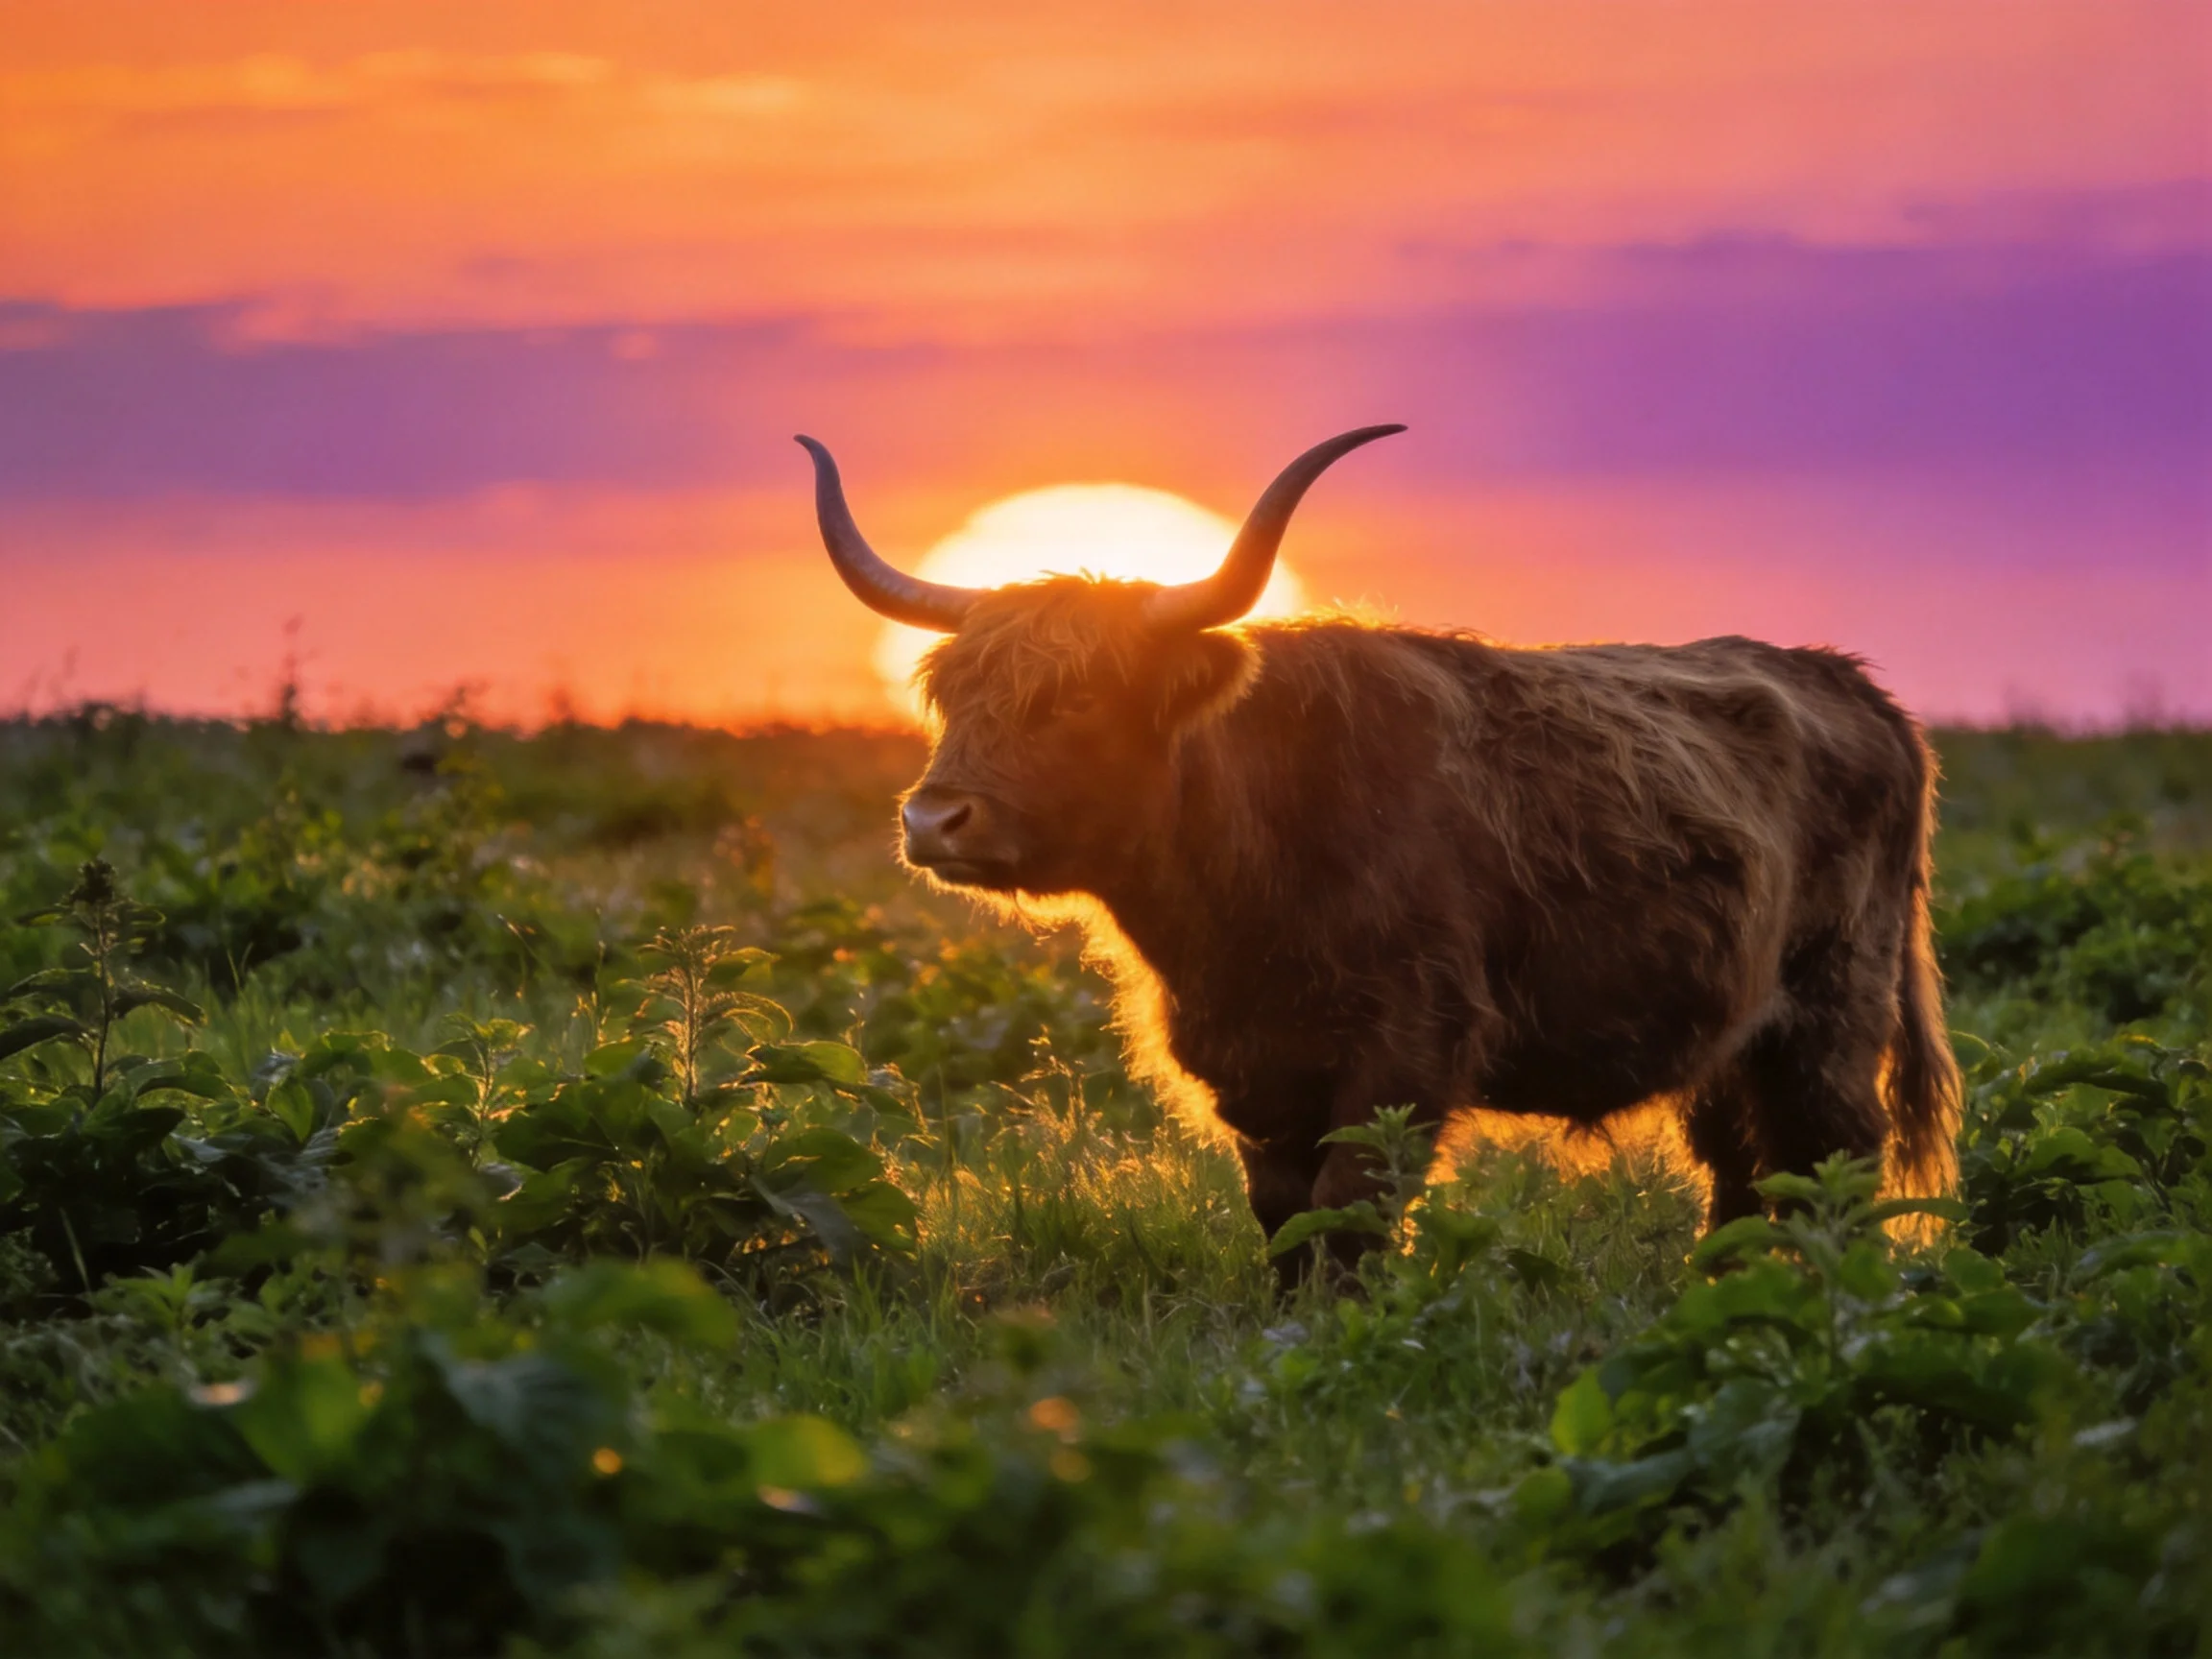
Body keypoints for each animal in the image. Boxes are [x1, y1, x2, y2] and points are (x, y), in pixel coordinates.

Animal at [797, 426, 1961, 1277]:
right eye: (951, 695)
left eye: (1079, 699)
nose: (935, 820)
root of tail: (1851, 683)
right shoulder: (1248, 1071)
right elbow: (1283, 1219)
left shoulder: (1405, 1052)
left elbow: (1347, 1214)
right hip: (1727, 1040)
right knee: (1742, 1179)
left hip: (1830, 1014)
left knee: (1832, 1160)